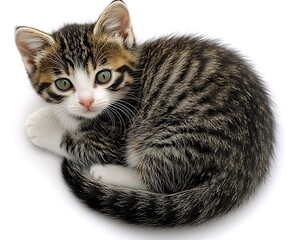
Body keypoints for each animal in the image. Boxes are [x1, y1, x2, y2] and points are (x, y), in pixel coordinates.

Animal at [15, 0, 274, 227]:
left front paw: (41, 126)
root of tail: (245, 168)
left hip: (175, 134)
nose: (87, 101)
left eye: (103, 76)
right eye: (63, 84)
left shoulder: (116, 134)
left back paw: (105, 172)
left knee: (159, 181)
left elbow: (78, 141)